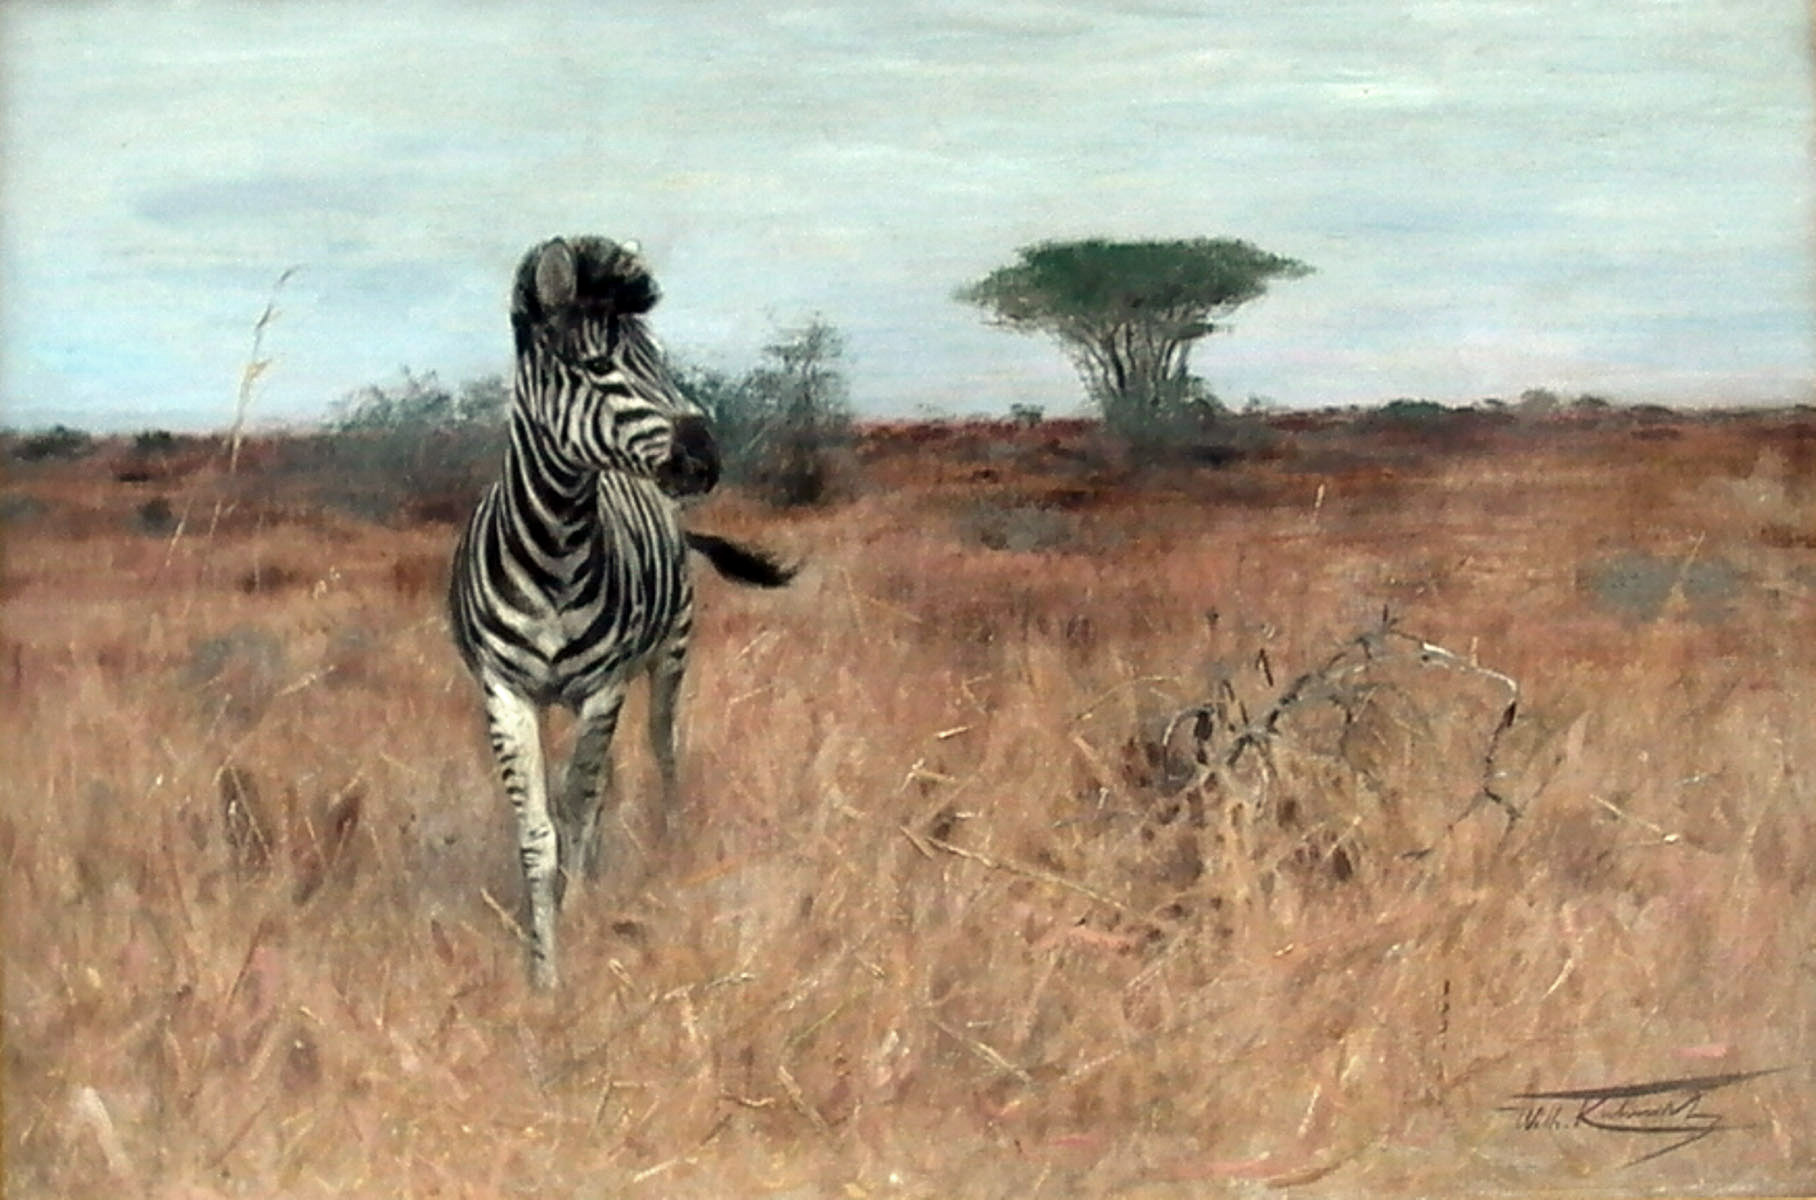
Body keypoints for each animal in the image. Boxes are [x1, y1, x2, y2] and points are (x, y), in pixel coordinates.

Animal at [449, 235, 794, 989]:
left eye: (659, 359)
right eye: (596, 366)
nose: (705, 459)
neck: (554, 545)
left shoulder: (603, 688)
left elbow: (579, 811)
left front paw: (576, 922)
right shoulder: (503, 690)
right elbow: (540, 830)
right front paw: (543, 969)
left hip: (669, 655)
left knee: (661, 751)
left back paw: (665, 852)